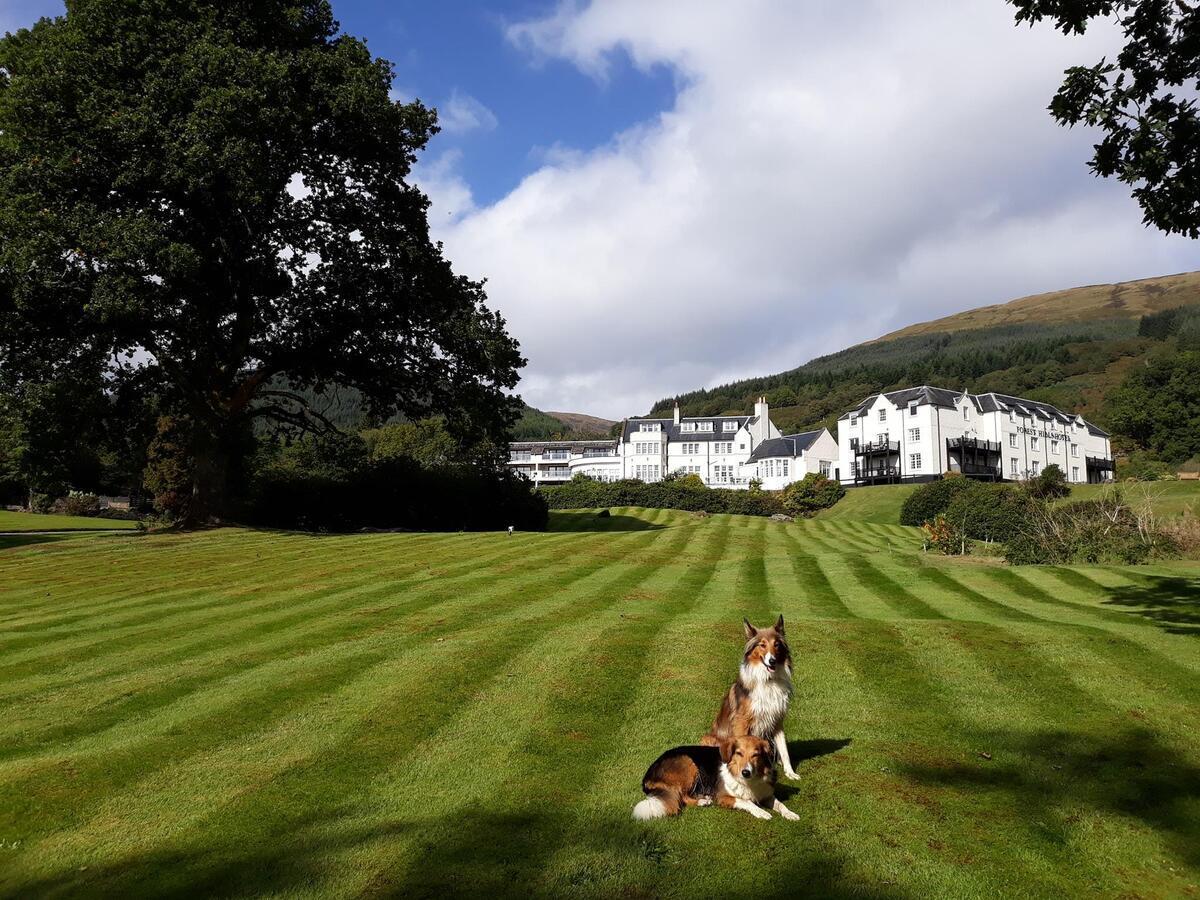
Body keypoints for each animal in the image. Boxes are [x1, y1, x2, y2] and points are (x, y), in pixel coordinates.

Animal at [628, 734, 796, 820]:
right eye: (739, 753)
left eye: (756, 755)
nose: (746, 772)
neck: (749, 781)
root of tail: (647, 776)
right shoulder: (723, 797)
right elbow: (746, 801)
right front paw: (761, 812)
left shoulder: (766, 794)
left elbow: (781, 804)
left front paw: (791, 814)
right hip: (688, 763)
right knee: (681, 796)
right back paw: (702, 801)